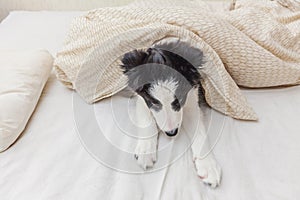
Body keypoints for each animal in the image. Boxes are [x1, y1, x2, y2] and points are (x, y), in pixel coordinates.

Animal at [120, 40, 221, 188]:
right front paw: (146, 150)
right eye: (154, 102)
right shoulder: (141, 97)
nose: (171, 133)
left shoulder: (193, 97)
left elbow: (200, 132)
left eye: (180, 99)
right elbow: (146, 117)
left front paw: (208, 166)